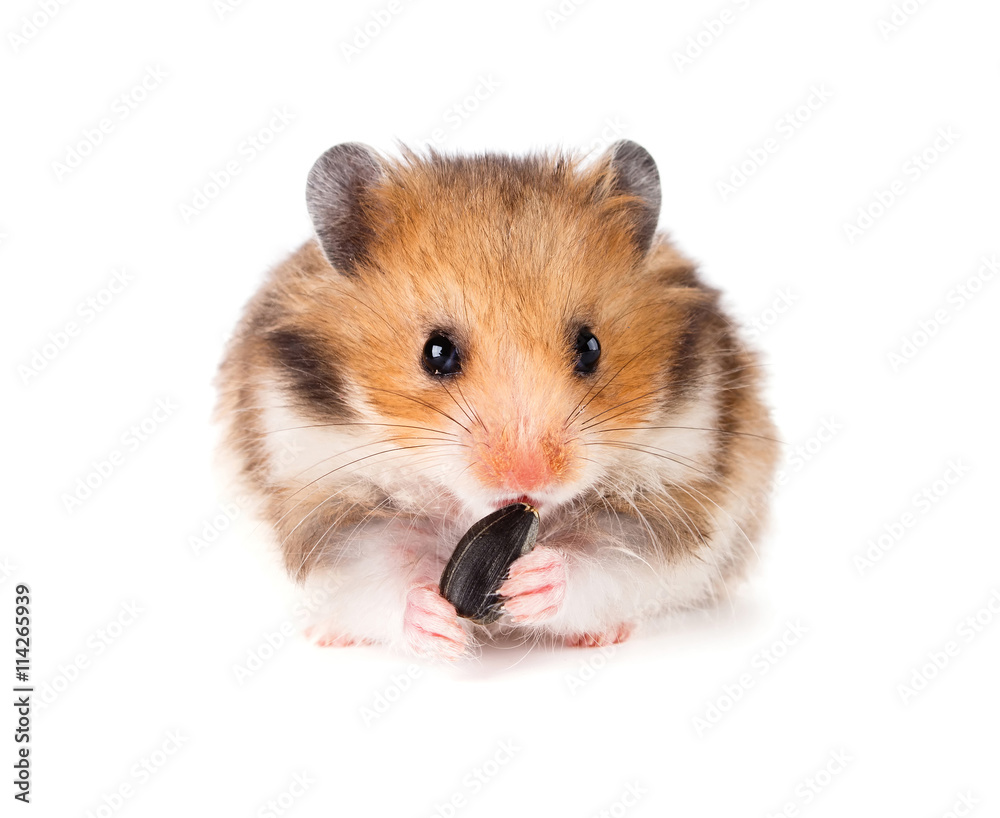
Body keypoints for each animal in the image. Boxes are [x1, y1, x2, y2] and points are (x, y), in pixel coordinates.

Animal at [214, 140, 779, 660]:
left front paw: (532, 582)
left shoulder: (670, 496)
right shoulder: (320, 498)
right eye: (436, 352)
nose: (530, 480)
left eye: (590, 347)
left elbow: (603, 561)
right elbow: (382, 571)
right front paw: (440, 627)